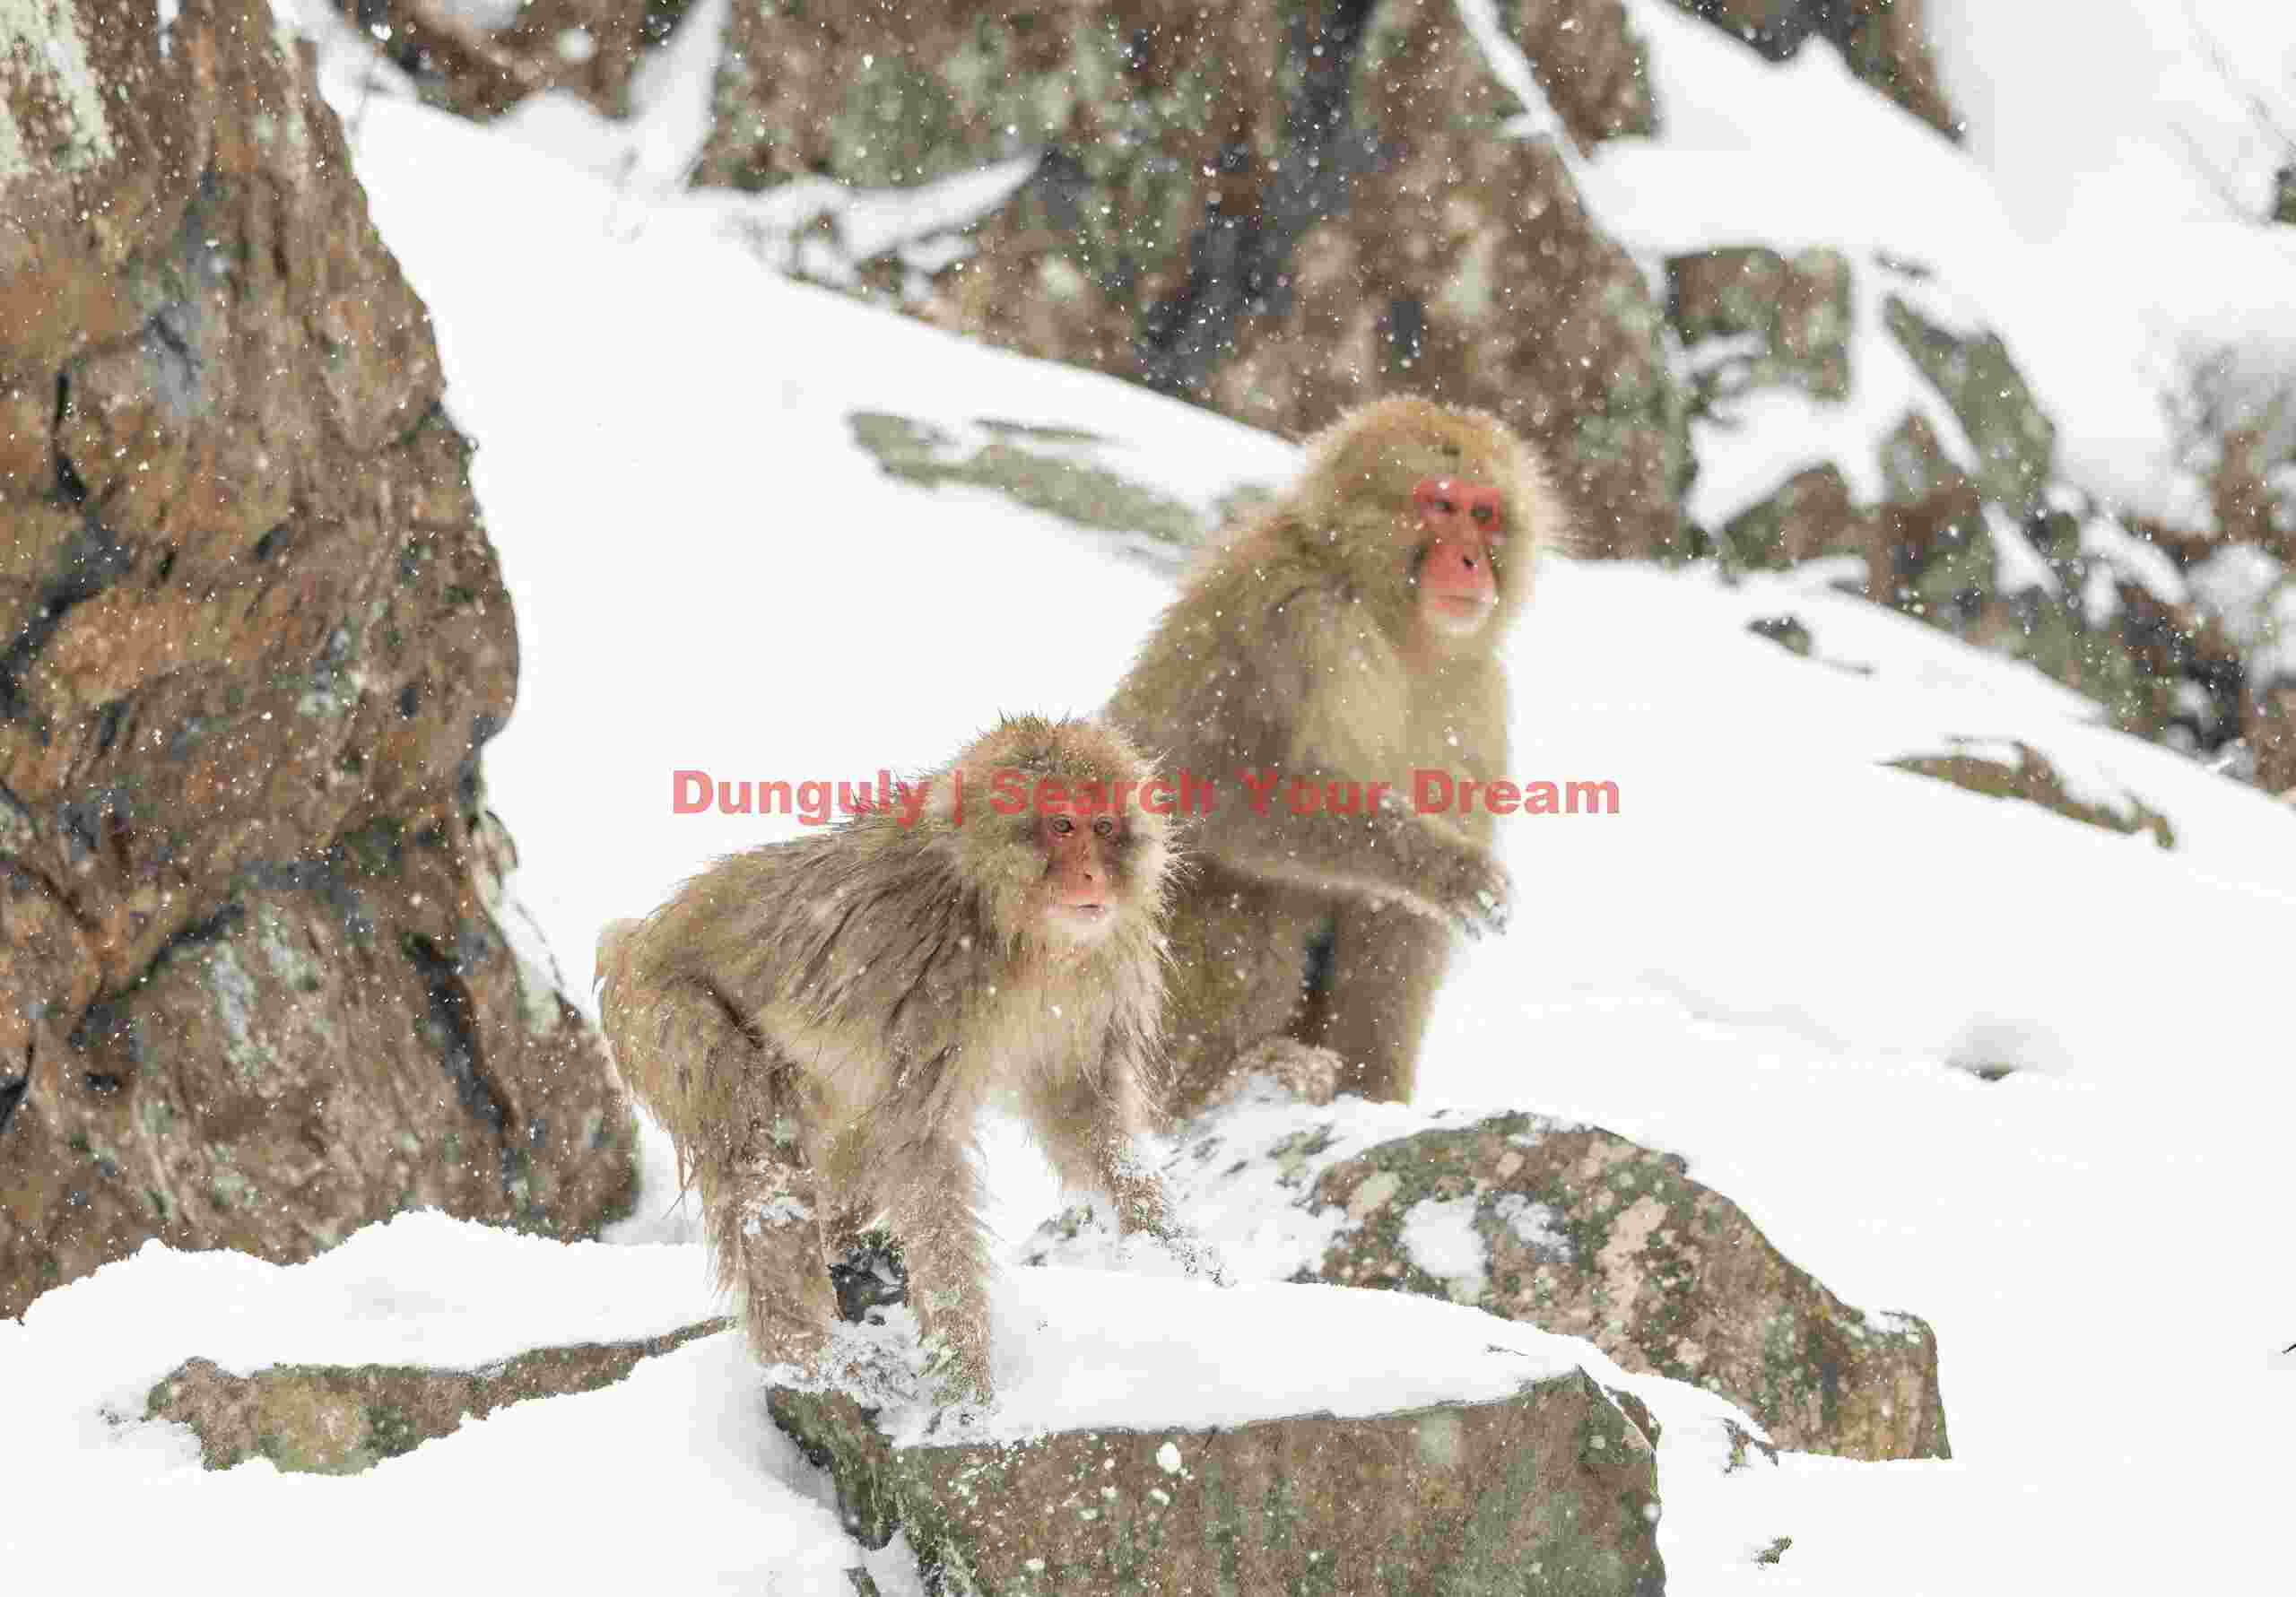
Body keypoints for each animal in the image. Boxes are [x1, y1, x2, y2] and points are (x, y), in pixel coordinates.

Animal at [594, 715, 1201, 1409]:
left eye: (1103, 827)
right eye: (1061, 825)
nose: (1093, 878)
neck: (1009, 926)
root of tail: (635, 937)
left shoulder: (1096, 973)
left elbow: (1079, 1110)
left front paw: (1181, 1256)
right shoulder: (928, 974)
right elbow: (922, 1156)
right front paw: (967, 1380)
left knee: (850, 1147)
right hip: (664, 1016)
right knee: (759, 1151)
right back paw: (809, 1358)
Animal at [1104, 396, 1557, 1118]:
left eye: (1484, 513)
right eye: (1441, 504)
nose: (1469, 562)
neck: (1397, 630)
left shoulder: (1479, 698)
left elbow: (1401, 912)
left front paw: (1378, 1088)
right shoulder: (1289, 620)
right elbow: (1224, 790)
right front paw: (1443, 866)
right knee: (1260, 890)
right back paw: (1213, 1085)